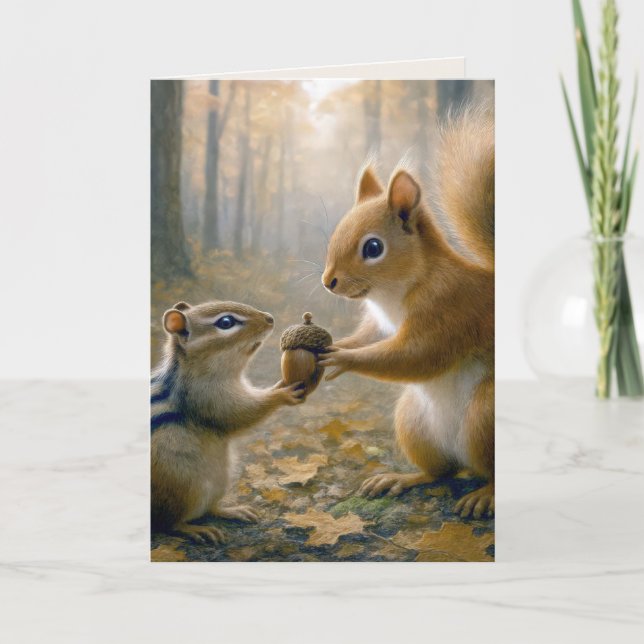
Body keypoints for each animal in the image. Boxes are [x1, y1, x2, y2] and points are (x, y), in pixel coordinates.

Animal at [151, 299, 305, 544]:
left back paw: (232, 510)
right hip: (182, 486)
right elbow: (242, 413)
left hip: (220, 478)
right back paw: (195, 529)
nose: (270, 318)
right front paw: (282, 394)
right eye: (226, 322)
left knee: (209, 508)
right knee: (169, 523)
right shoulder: (210, 397)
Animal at [319, 107, 494, 519]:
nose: (328, 281)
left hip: (486, 415)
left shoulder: (449, 309)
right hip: (413, 422)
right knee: (442, 471)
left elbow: (417, 356)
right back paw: (402, 478)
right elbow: (371, 338)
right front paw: (339, 344)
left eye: (373, 248)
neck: (394, 293)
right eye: (336, 233)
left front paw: (344, 358)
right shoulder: (380, 323)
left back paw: (487, 495)